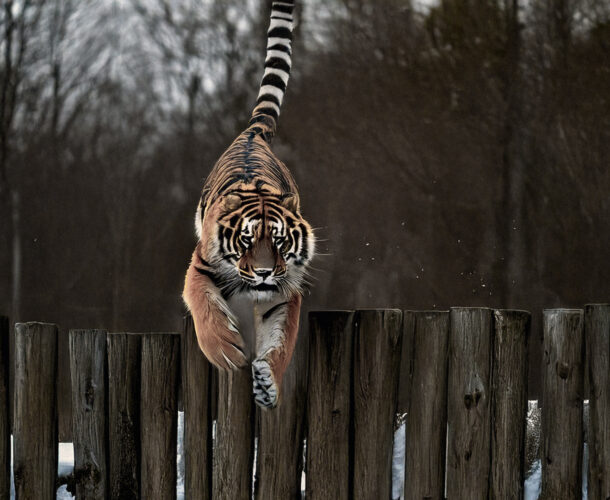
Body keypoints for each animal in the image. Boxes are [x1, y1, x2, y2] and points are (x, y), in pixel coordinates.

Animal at [182, 0, 314, 408]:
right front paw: (226, 351)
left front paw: (268, 382)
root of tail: (252, 132)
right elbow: (205, 308)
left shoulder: (284, 290)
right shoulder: (200, 267)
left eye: (279, 240)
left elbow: (281, 338)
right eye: (246, 239)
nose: (265, 273)